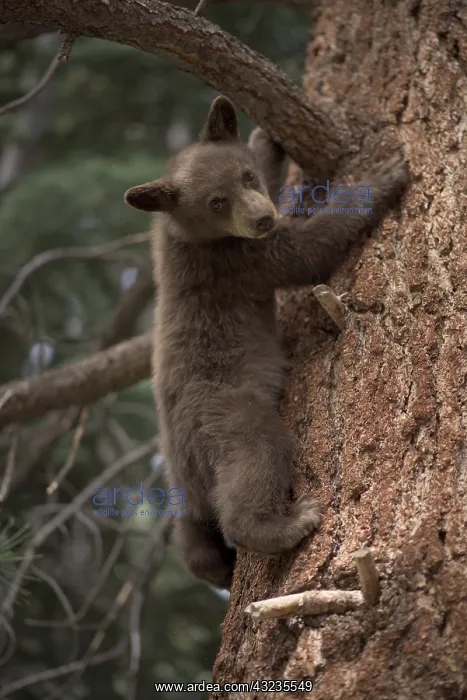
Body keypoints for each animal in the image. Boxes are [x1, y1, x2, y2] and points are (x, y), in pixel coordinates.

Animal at [124, 95, 409, 590]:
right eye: (216, 202)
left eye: (247, 176)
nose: (261, 217)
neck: (184, 236)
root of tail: (184, 473)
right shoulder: (242, 259)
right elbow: (308, 251)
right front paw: (381, 178)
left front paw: (265, 138)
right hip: (225, 414)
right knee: (256, 458)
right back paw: (284, 525)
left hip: (189, 498)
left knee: (194, 543)